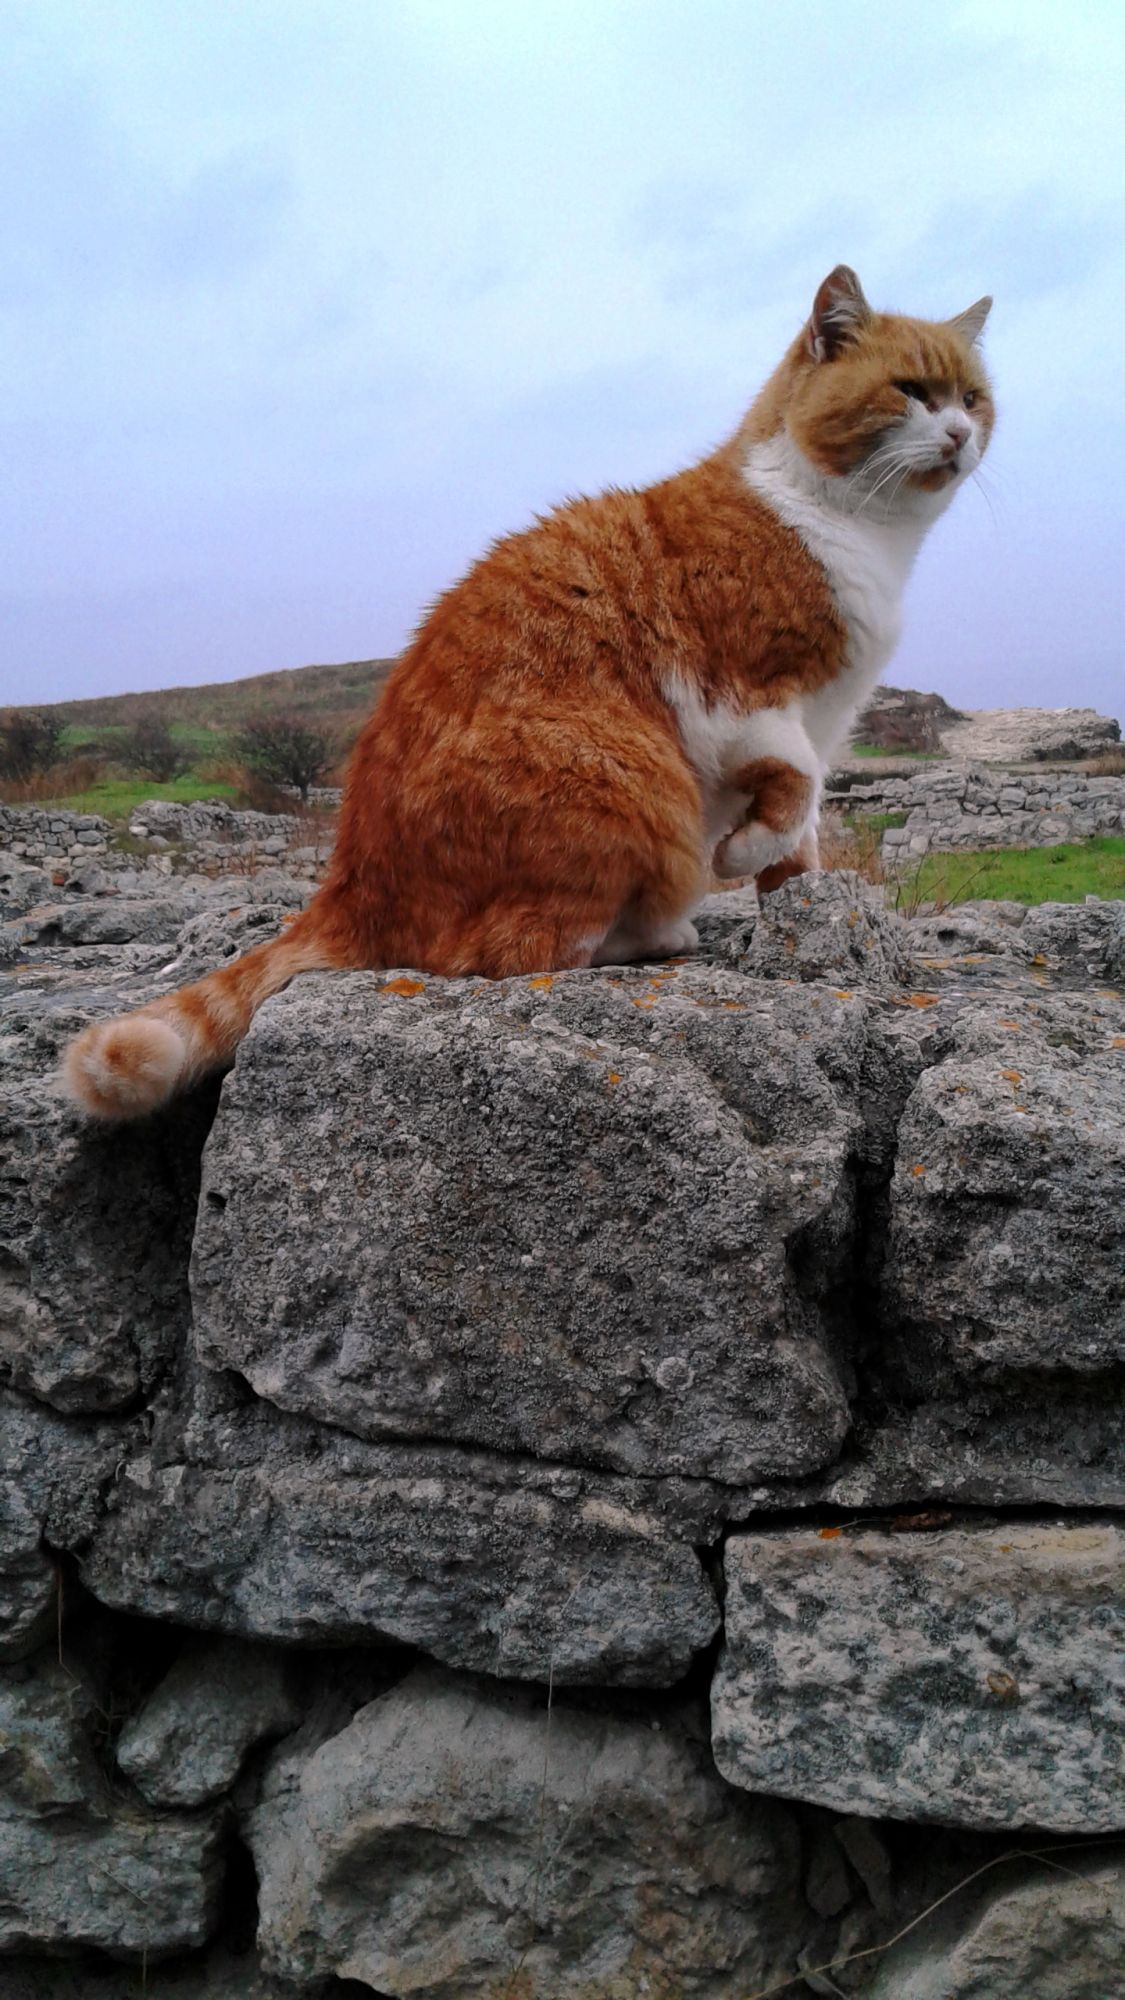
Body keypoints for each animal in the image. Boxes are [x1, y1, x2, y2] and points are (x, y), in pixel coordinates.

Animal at [63, 264, 993, 1121]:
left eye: (973, 399)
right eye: (909, 391)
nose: (957, 433)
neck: (852, 529)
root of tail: (345, 884)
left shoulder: (826, 716)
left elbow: (802, 829)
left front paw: (802, 922)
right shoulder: (749, 699)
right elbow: (791, 791)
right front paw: (740, 860)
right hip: (626, 775)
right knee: (510, 954)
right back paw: (646, 939)